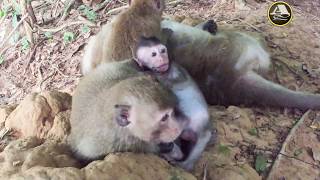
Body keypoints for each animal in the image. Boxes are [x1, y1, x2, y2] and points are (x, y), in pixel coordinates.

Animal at [133, 36, 212, 170]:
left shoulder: (175, 70)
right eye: (154, 54)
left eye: (163, 50)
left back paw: (185, 163)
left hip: (199, 126)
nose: (162, 58)